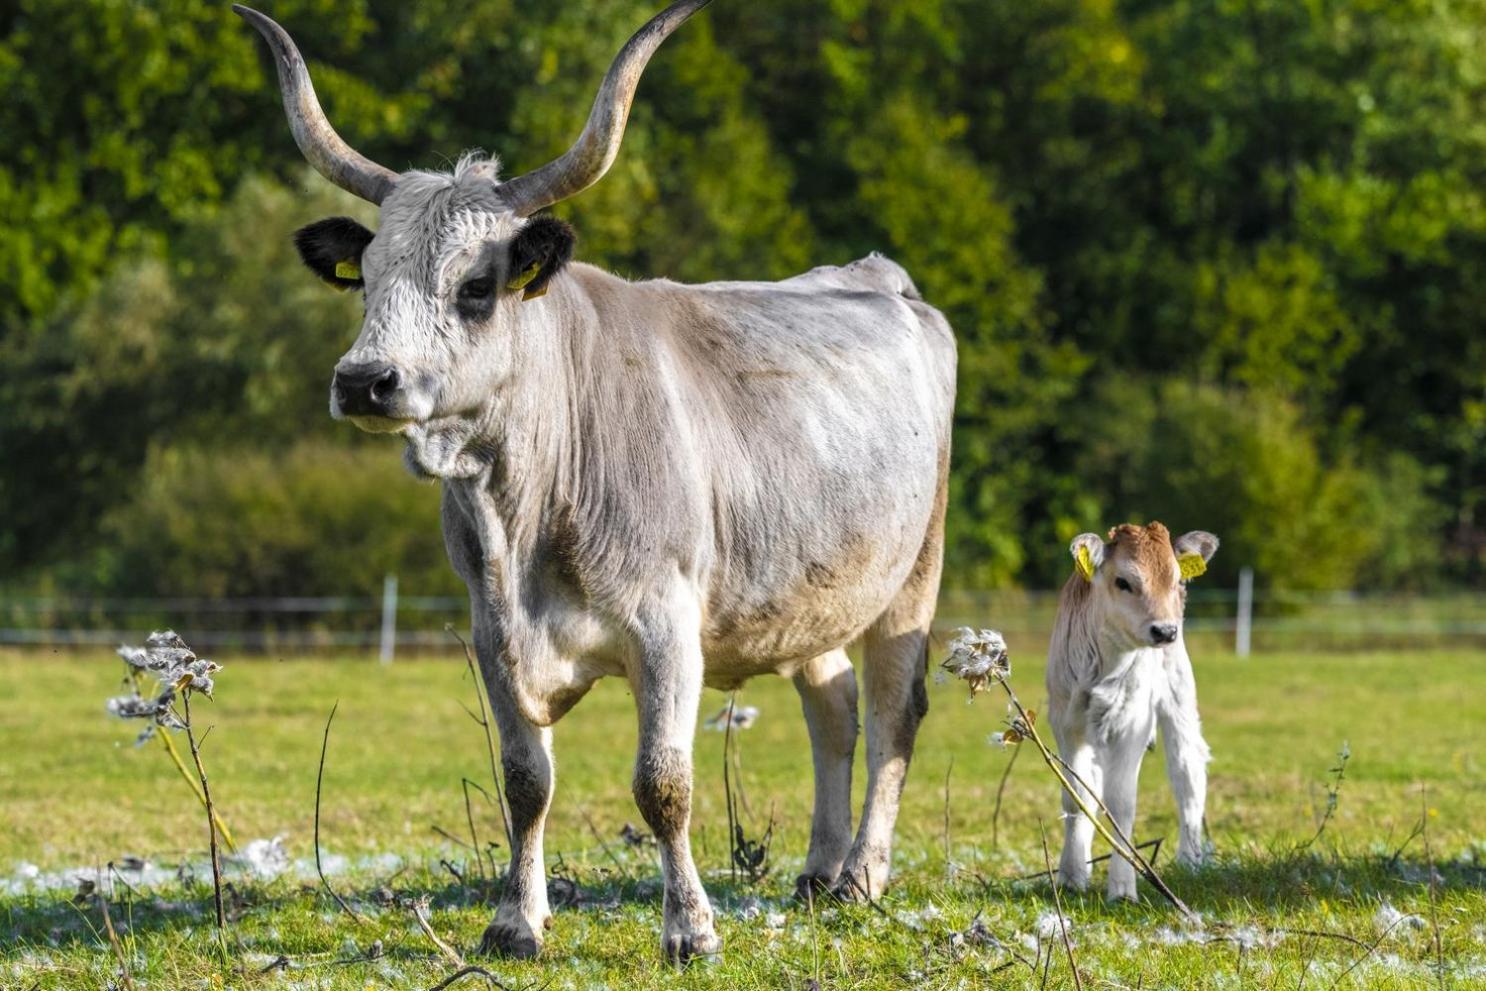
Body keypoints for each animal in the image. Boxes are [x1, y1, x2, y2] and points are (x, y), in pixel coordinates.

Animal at [237, 0, 956, 962]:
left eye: (476, 286)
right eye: (368, 280)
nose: (364, 380)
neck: (523, 513)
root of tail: (882, 278)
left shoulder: (668, 626)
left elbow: (663, 782)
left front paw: (690, 928)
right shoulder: (491, 633)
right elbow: (523, 778)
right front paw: (516, 919)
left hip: (913, 575)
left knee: (891, 711)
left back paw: (864, 873)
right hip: (810, 588)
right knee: (834, 705)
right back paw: (819, 869)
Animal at [1046, 522, 1218, 903]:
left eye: (1175, 580)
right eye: (1123, 581)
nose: (1165, 630)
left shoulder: (1134, 723)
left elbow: (1122, 802)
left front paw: (1123, 888)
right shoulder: (1065, 722)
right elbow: (1076, 797)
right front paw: (1072, 876)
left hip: (1179, 695)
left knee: (1188, 772)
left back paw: (1190, 858)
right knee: (1093, 781)